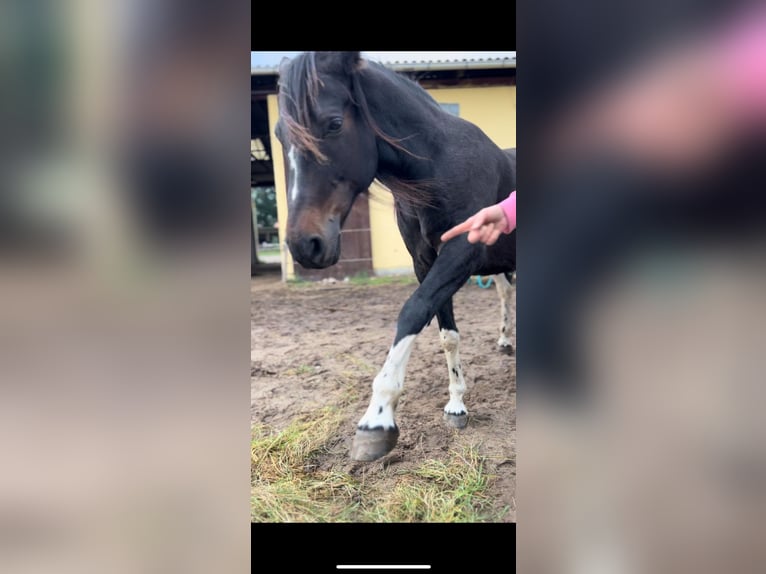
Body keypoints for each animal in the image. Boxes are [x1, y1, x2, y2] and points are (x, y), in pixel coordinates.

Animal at [275, 51, 515, 461]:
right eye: (278, 133)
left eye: (334, 123)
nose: (304, 244)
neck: (440, 167)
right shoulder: (426, 261)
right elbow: (447, 334)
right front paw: (456, 405)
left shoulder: (461, 253)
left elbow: (413, 311)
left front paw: (378, 417)